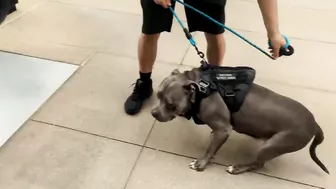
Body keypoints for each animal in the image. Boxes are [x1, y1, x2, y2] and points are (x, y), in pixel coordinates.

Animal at [151, 67, 330, 174]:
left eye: (170, 104)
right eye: (157, 95)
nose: (153, 112)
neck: (201, 90)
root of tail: (315, 125)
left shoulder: (224, 129)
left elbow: (210, 150)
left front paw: (200, 163)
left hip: (271, 146)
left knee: (259, 163)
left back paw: (237, 168)